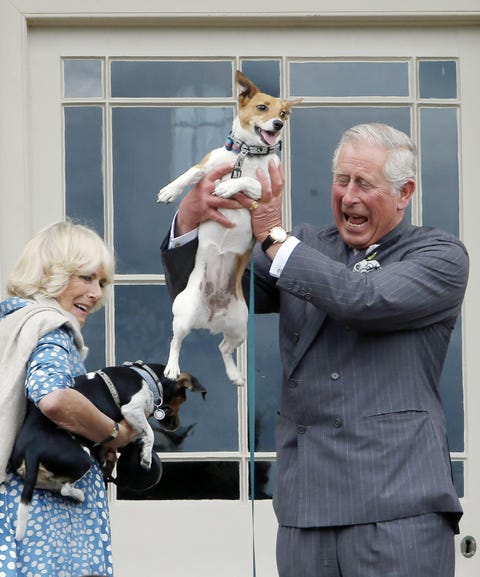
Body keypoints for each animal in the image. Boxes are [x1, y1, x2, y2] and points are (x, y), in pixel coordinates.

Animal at [8, 360, 204, 540]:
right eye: (183, 399)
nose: (175, 426)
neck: (146, 378)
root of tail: (31, 449)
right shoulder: (132, 410)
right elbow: (150, 433)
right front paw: (146, 456)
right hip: (82, 457)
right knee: (65, 489)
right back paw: (79, 495)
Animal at [158, 72, 300, 384]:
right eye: (262, 108)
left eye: (283, 113)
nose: (278, 124)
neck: (248, 155)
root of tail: (210, 317)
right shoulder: (205, 168)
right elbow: (188, 175)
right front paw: (169, 191)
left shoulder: (265, 188)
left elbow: (248, 181)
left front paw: (228, 187)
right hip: (184, 314)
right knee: (176, 342)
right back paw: (172, 367)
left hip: (239, 326)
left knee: (223, 347)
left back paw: (235, 374)